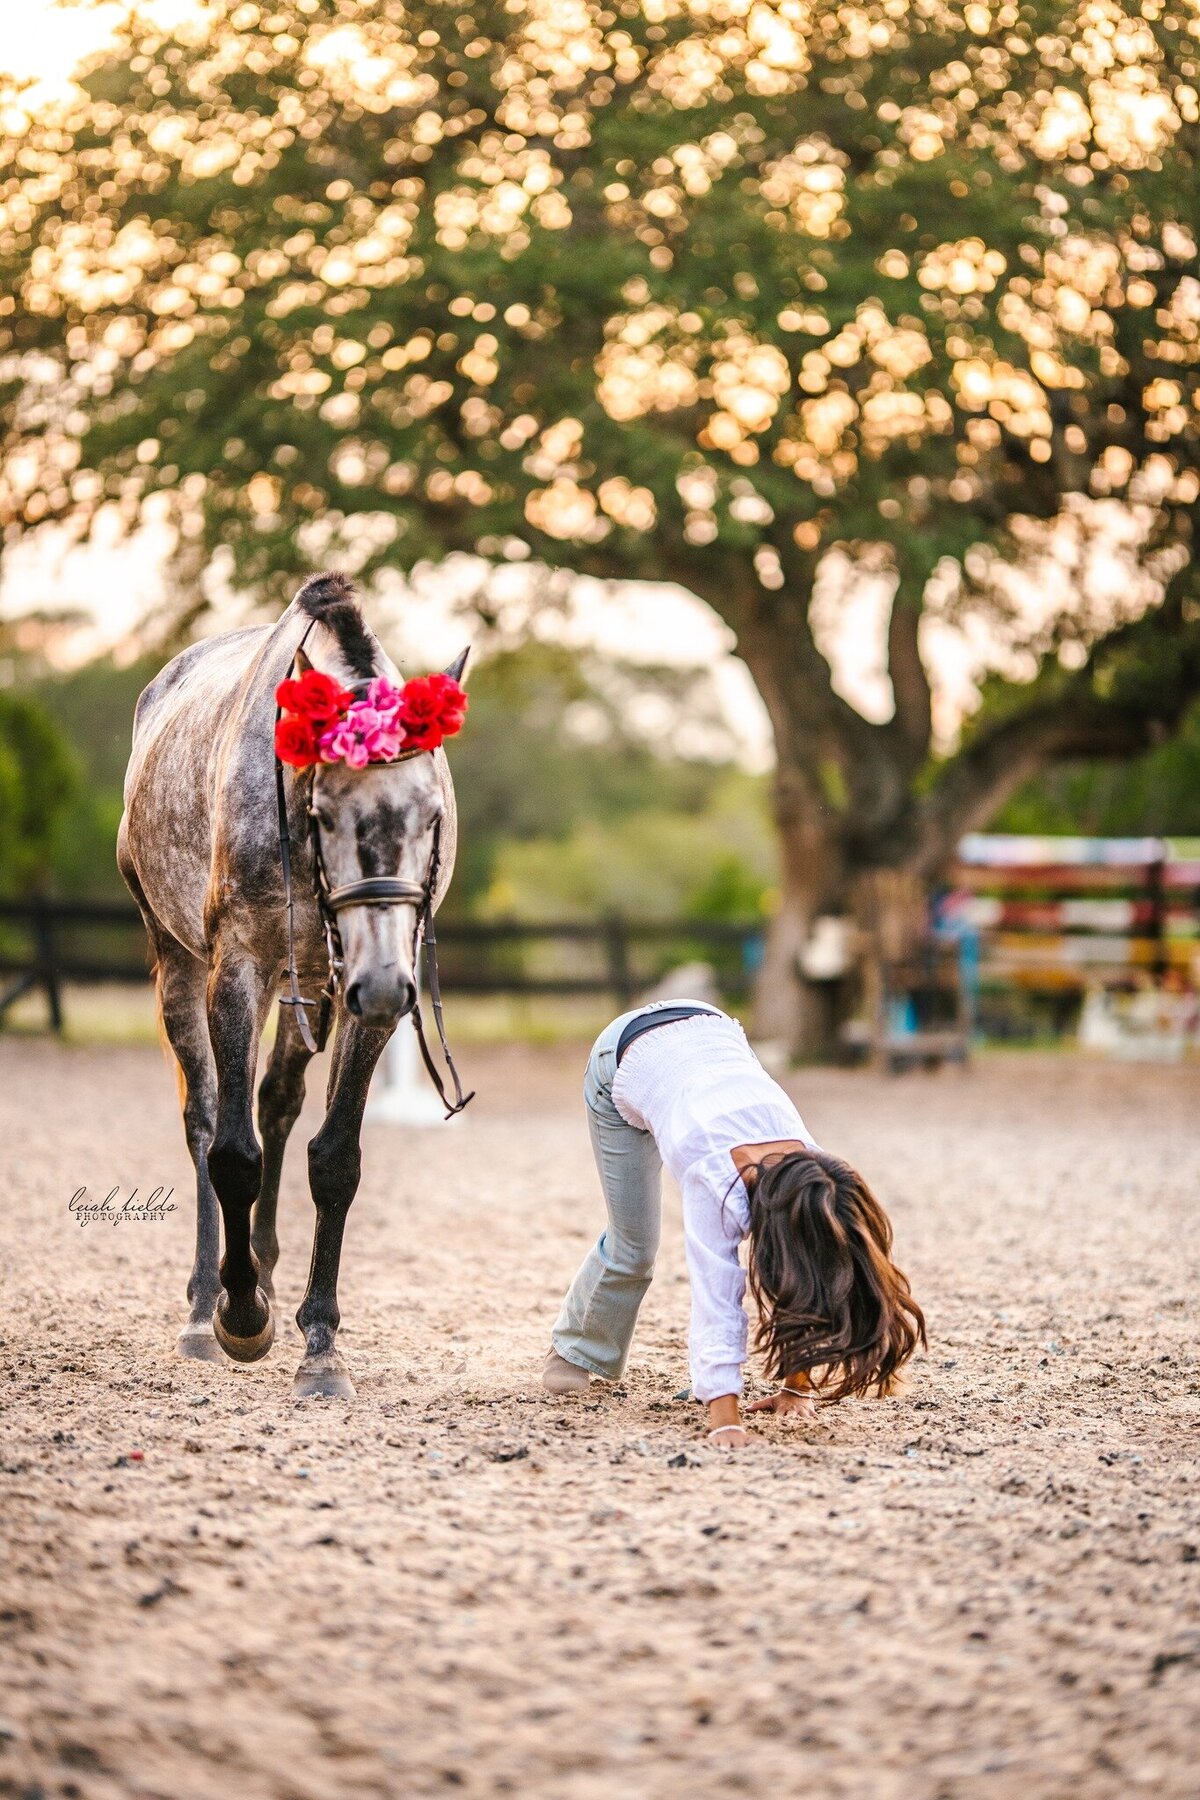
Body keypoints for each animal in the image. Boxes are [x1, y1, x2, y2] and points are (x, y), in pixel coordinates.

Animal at [115, 568, 467, 1396]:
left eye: (432, 815)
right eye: (325, 813)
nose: (384, 985)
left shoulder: (361, 994)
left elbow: (334, 1158)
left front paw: (321, 1343)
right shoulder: (239, 970)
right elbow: (231, 1154)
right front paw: (242, 1319)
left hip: (312, 983)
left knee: (276, 1103)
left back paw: (267, 1275)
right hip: (183, 967)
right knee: (206, 1120)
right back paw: (206, 1303)